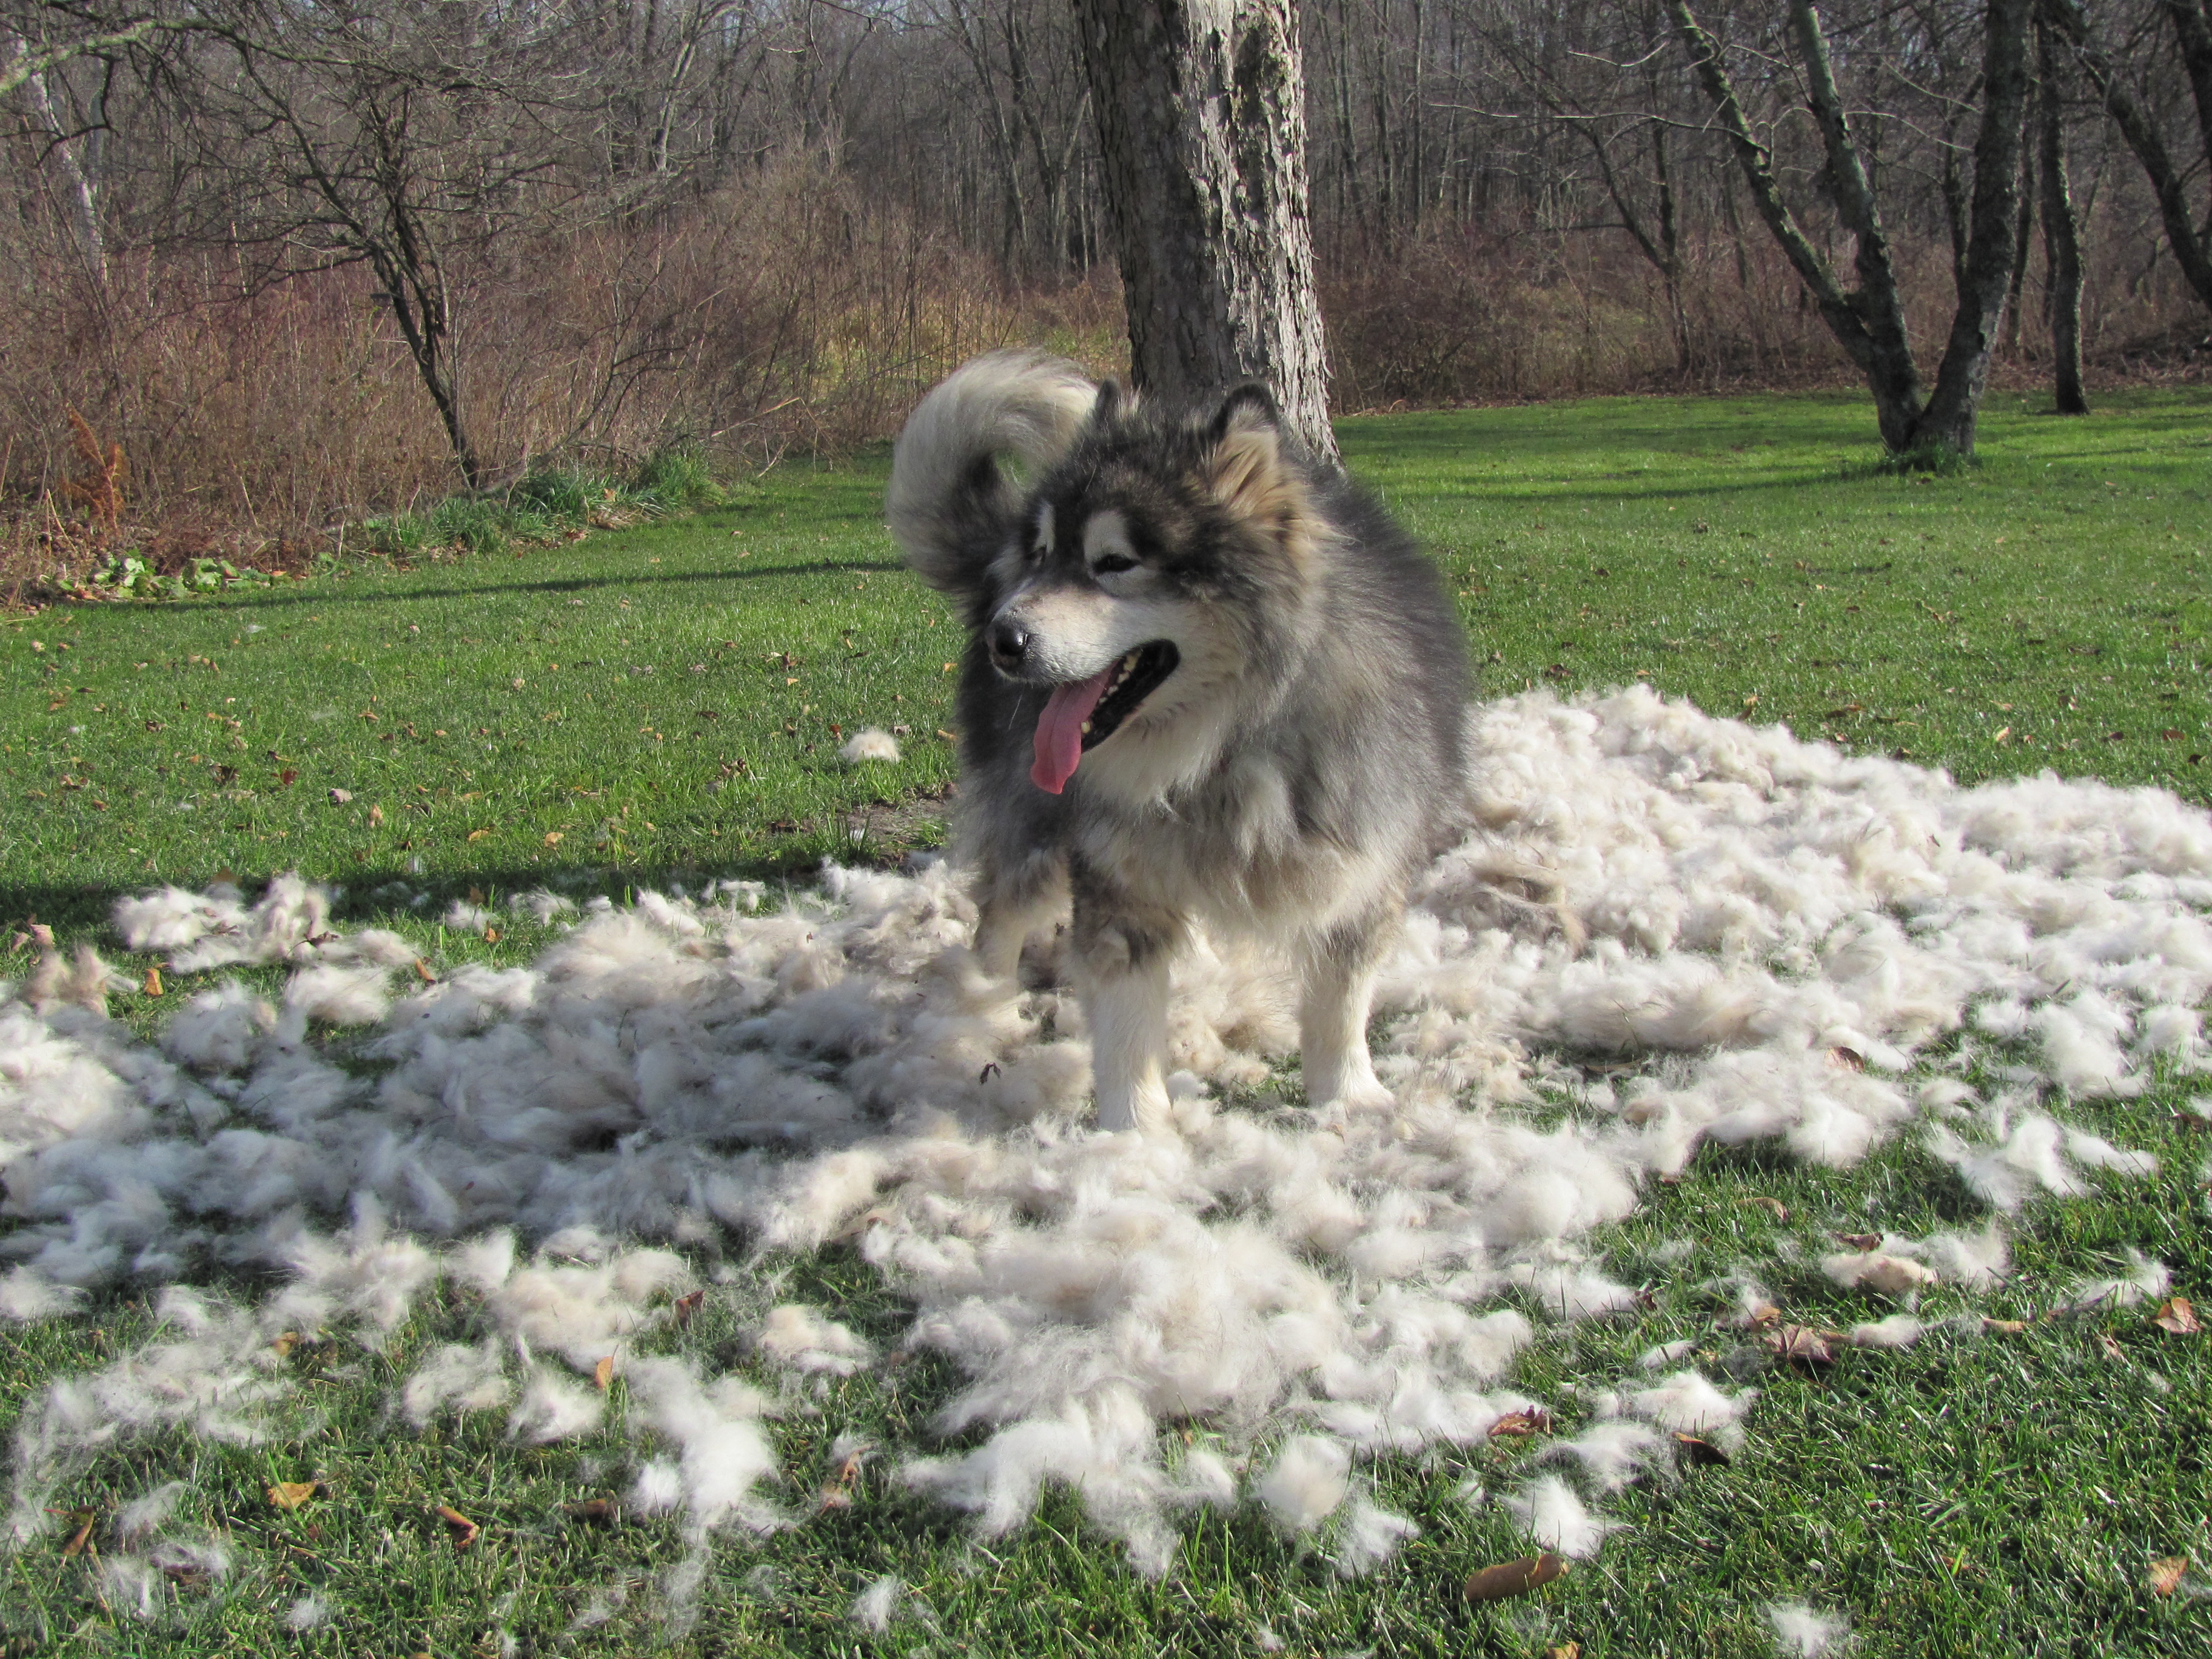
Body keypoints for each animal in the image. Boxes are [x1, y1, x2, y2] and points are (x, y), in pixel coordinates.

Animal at [880, 352, 1469, 1132]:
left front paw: (1348, 1096)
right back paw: (989, 1008)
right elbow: (1128, 1027)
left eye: (1114, 562)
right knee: (1001, 915)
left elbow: (1340, 1003)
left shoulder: (1362, 866)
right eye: (1044, 554)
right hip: (1033, 826)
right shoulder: (1119, 884)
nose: (1002, 638)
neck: (1219, 749)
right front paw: (1136, 1132)